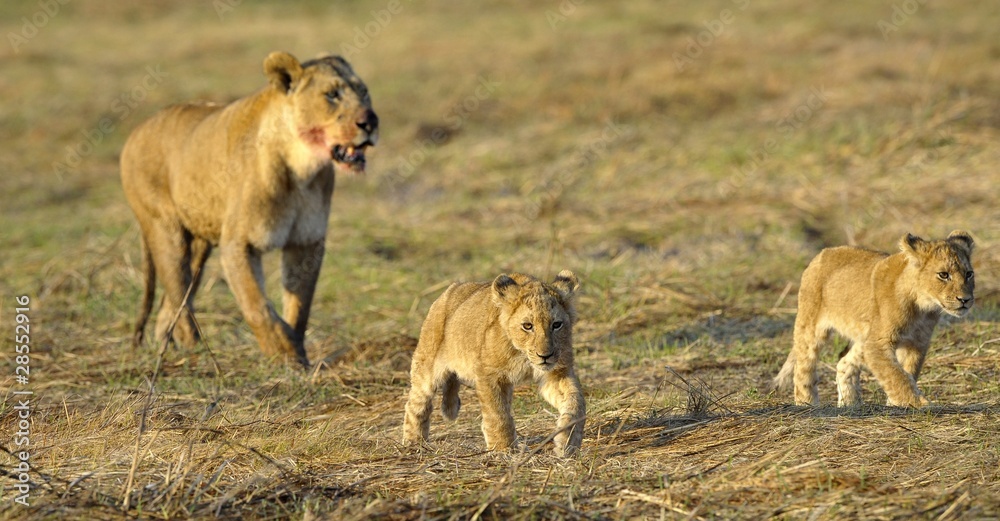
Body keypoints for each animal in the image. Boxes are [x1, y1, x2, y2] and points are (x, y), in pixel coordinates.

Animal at [120, 51, 378, 367]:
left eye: (363, 92)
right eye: (332, 94)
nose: (370, 121)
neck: (302, 170)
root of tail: (137, 130)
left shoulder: (306, 242)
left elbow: (300, 306)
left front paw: (299, 354)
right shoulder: (239, 244)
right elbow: (258, 306)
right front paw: (285, 355)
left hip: (200, 243)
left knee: (171, 302)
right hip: (165, 230)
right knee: (179, 296)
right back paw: (198, 353)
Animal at [402, 270, 586, 457]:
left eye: (557, 325)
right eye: (527, 326)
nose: (545, 356)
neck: (523, 355)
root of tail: (451, 289)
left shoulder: (556, 373)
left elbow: (577, 403)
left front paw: (568, 441)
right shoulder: (489, 375)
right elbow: (498, 413)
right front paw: (504, 449)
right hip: (427, 367)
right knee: (415, 404)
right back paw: (414, 444)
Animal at [774, 231, 975, 407]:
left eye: (969, 274)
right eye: (944, 275)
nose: (965, 300)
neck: (923, 307)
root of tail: (823, 253)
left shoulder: (916, 344)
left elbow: (907, 373)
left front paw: (896, 405)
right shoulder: (878, 344)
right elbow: (897, 377)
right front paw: (920, 404)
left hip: (864, 338)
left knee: (843, 363)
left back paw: (850, 404)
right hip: (811, 327)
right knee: (803, 368)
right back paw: (807, 404)